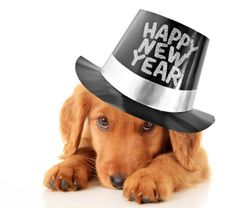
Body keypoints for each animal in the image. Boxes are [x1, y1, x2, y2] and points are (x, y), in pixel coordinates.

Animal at [43, 83, 209, 204]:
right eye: (103, 121)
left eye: (148, 124)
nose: (118, 182)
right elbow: (84, 150)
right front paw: (67, 167)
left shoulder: (197, 157)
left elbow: (170, 158)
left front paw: (148, 177)